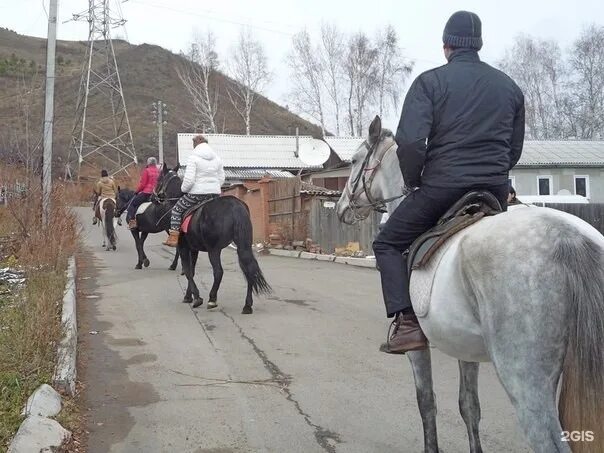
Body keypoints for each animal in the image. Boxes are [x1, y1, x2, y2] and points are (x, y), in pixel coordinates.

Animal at [157, 167, 270, 314]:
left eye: (160, 177)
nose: (156, 196)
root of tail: (235, 206)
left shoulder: (183, 248)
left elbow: (187, 271)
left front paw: (196, 298)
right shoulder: (194, 249)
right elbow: (192, 271)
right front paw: (189, 296)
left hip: (213, 249)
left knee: (218, 272)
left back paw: (212, 299)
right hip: (243, 246)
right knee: (248, 268)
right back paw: (247, 305)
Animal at [338, 116, 600, 452]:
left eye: (355, 161)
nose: (342, 207)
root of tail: (567, 237)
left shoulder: (417, 349)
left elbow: (426, 402)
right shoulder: (464, 345)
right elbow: (469, 407)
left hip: (526, 380)